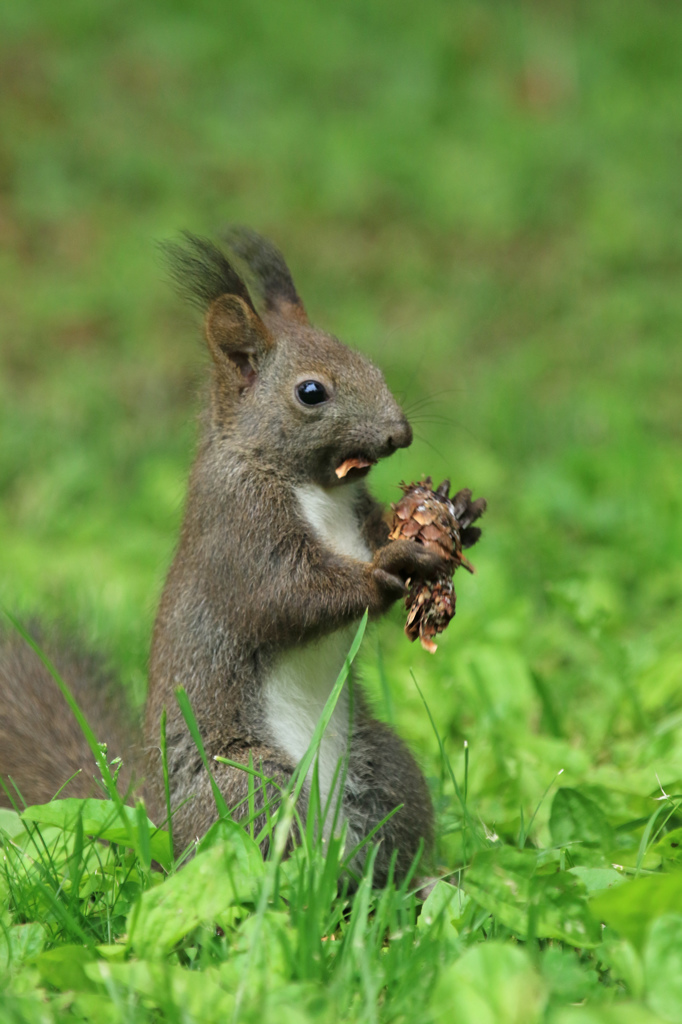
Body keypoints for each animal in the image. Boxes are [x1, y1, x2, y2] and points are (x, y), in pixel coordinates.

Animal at [1, 228, 446, 884]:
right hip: (247, 787)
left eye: (372, 364)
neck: (317, 489)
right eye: (311, 392)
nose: (399, 434)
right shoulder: (239, 531)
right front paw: (391, 568)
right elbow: (287, 597)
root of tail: (159, 828)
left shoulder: (356, 518)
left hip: (387, 771)